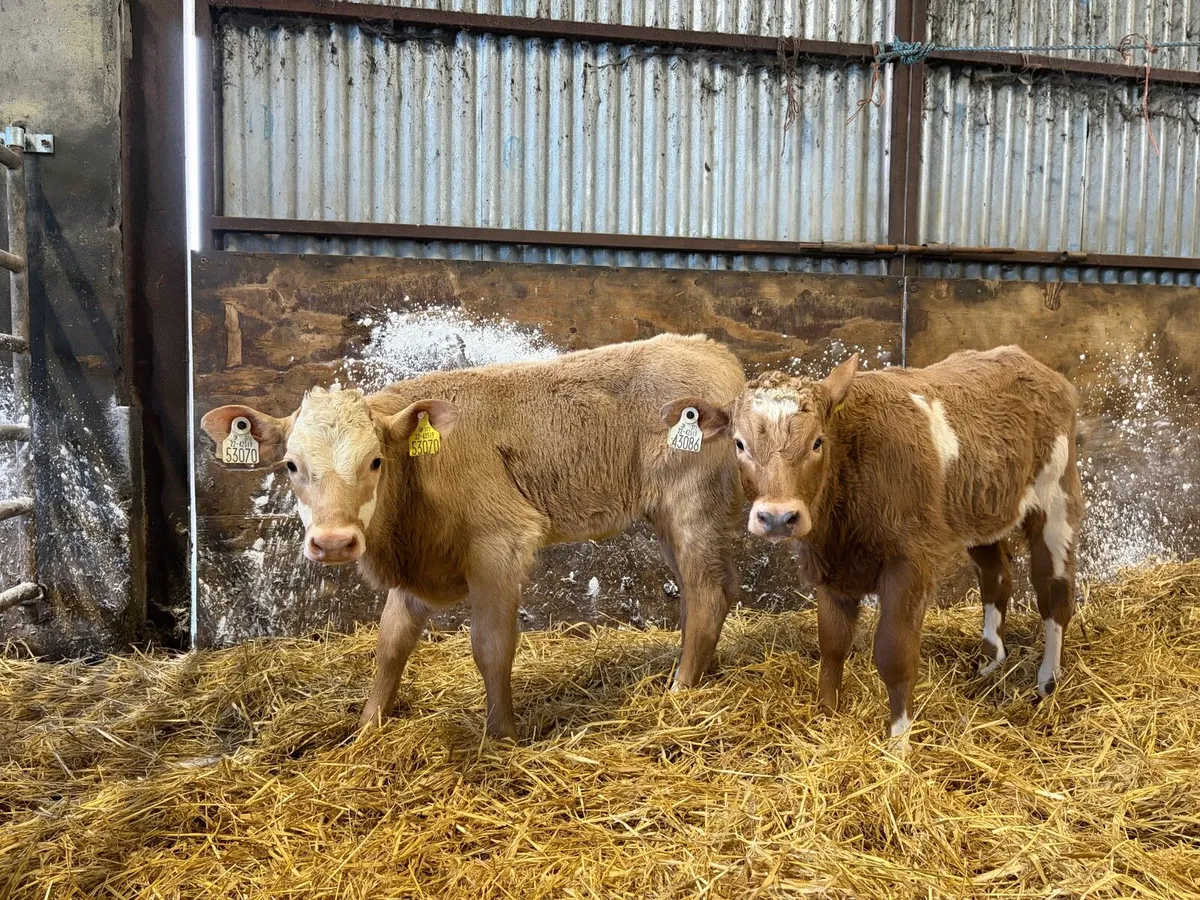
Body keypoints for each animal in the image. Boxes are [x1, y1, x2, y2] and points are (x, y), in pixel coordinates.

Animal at [200, 333, 745, 740]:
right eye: (291, 466)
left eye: (374, 461)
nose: (334, 542)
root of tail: (709, 349)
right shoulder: (417, 564)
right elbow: (390, 643)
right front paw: (367, 728)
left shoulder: (501, 543)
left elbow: (491, 645)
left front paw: (501, 735)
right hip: (667, 518)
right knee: (708, 590)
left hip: (692, 505)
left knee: (707, 591)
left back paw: (681, 691)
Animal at [675, 346, 1083, 741]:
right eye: (739, 444)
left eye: (817, 442)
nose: (778, 517)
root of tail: (1031, 362)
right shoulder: (830, 567)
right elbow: (832, 643)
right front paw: (826, 718)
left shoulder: (910, 563)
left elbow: (894, 653)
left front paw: (898, 740)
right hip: (982, 511)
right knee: (996, 576)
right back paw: (989, 663)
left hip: (1056, 500)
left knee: (1054, 591)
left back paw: (1047, 681)